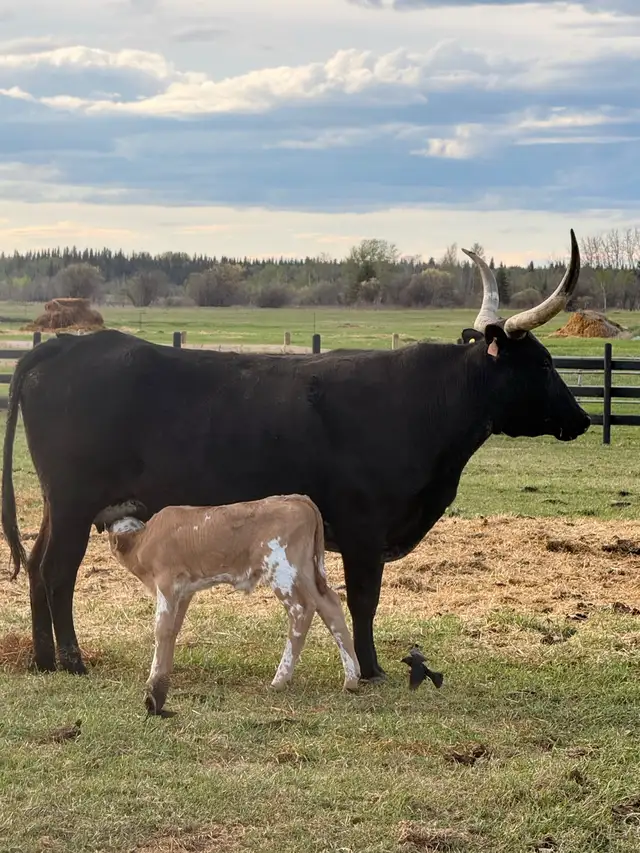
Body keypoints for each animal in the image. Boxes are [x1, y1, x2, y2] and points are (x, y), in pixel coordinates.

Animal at [1, 229, 590, 682]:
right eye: (542, 363)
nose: (582, 420)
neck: (423, 403)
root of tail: (63, 345)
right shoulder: (363, 528)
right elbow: (364, 599)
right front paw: (370, 670)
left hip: (61, 504)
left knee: (36, 564)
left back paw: (44, 659)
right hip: (75, 502)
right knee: (56, 569)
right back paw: (72, 660)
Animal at [94, 495, 360, 713]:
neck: (143, 539)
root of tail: (296, 499)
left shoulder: (167, 583)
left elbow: (162, 630)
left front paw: (155, 686)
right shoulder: (184, 592)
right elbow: (173, 629)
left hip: (282, 569)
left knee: (301, 610)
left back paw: (280, 679)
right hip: (305, 570)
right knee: (329, 606)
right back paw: (351, 679)